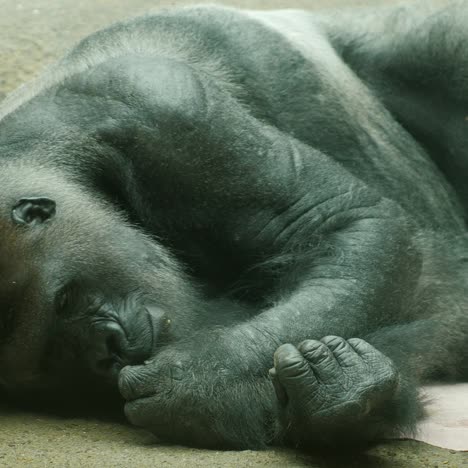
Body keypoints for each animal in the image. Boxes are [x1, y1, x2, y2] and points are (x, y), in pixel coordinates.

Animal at [0, 0, 468, 452]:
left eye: (63, 300)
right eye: (48, 358)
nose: (105, 347)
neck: (40, 150)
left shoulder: (155, 102)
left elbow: (350, 224)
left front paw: (203, 379)